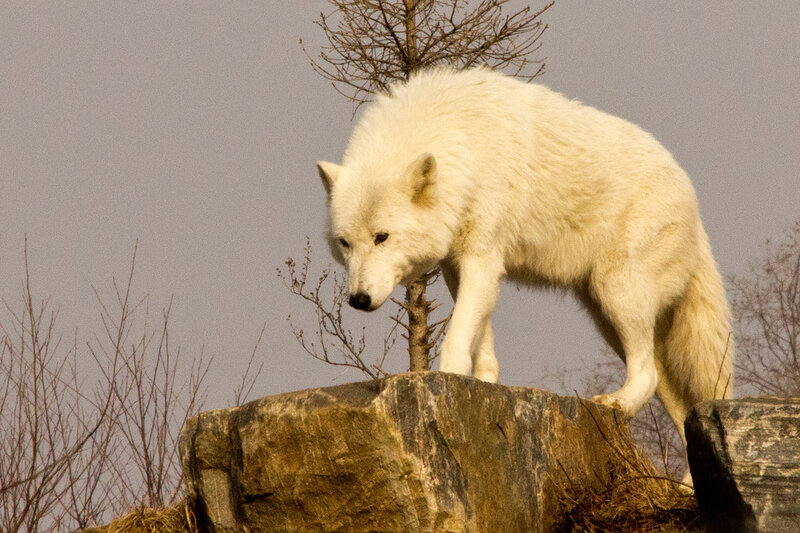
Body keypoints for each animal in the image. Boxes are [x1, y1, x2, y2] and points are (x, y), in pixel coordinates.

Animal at [317, 67, 733, 454]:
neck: (463, 140)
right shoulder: (460, 266)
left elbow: (458, 335)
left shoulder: (483, 258)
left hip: (617, 293)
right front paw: (483, 383)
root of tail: (693, 202)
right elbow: (481, 336)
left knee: (646, 374)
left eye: (381, 237)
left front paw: (445, 386)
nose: (358, 300)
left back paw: (616, 402)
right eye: (345, 243)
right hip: (610, 318)